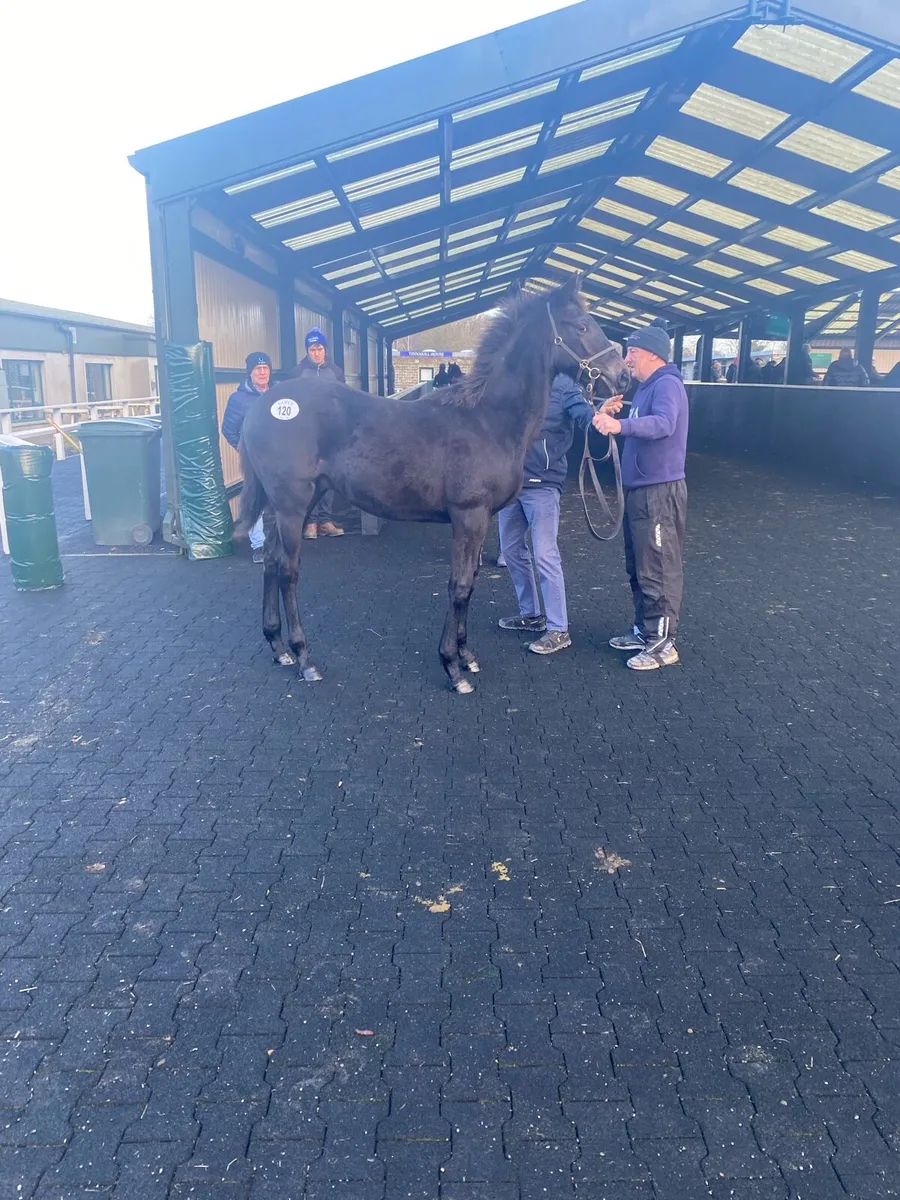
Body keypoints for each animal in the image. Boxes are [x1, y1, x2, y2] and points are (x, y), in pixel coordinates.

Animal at [238, 275, 629, 693]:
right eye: (582, 326)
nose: (622, 375)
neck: (488, 419)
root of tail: (262, 407)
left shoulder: (481, 519)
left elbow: (471, 581)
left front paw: (466, 656)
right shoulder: (468, 515)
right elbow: (459, 585)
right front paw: (452, 667)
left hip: (298, 501)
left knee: (272, 561)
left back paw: (278, 647)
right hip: (292, 504)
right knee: (287, 570)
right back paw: (303, 657)